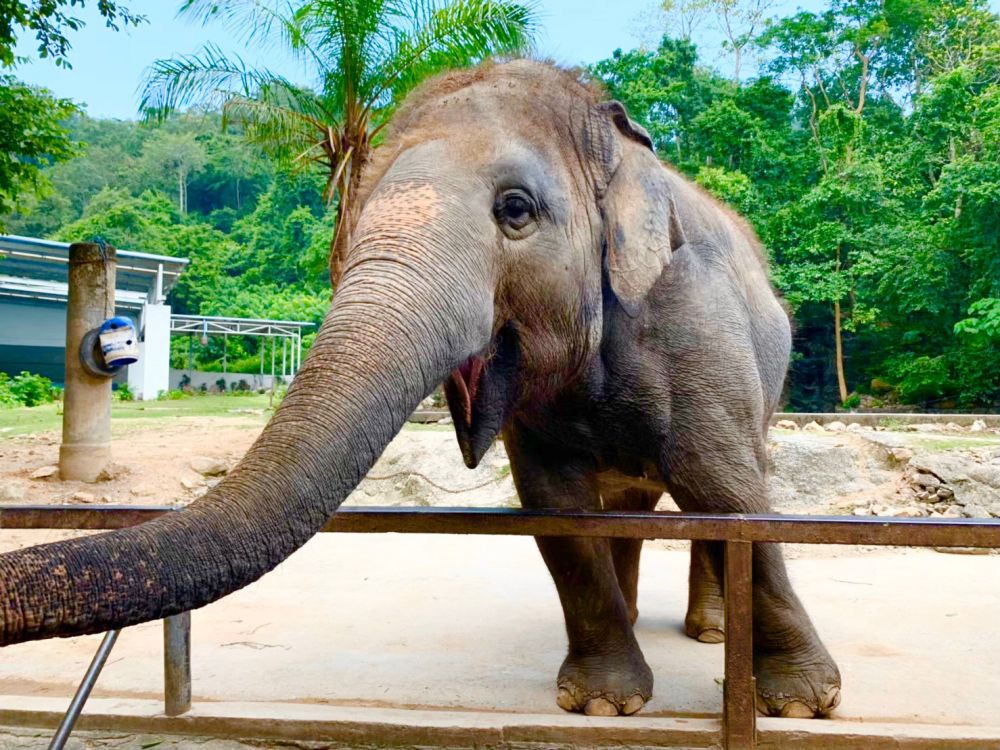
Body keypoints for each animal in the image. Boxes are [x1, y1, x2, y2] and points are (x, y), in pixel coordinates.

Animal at [0, 60, 840, 724]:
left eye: (515, 209)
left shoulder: (695, 322)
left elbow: (728, 490)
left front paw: (804, 704)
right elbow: (557, 509)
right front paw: (603, 703)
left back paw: (712, 635)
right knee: (627, 506)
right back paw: (642, 618)